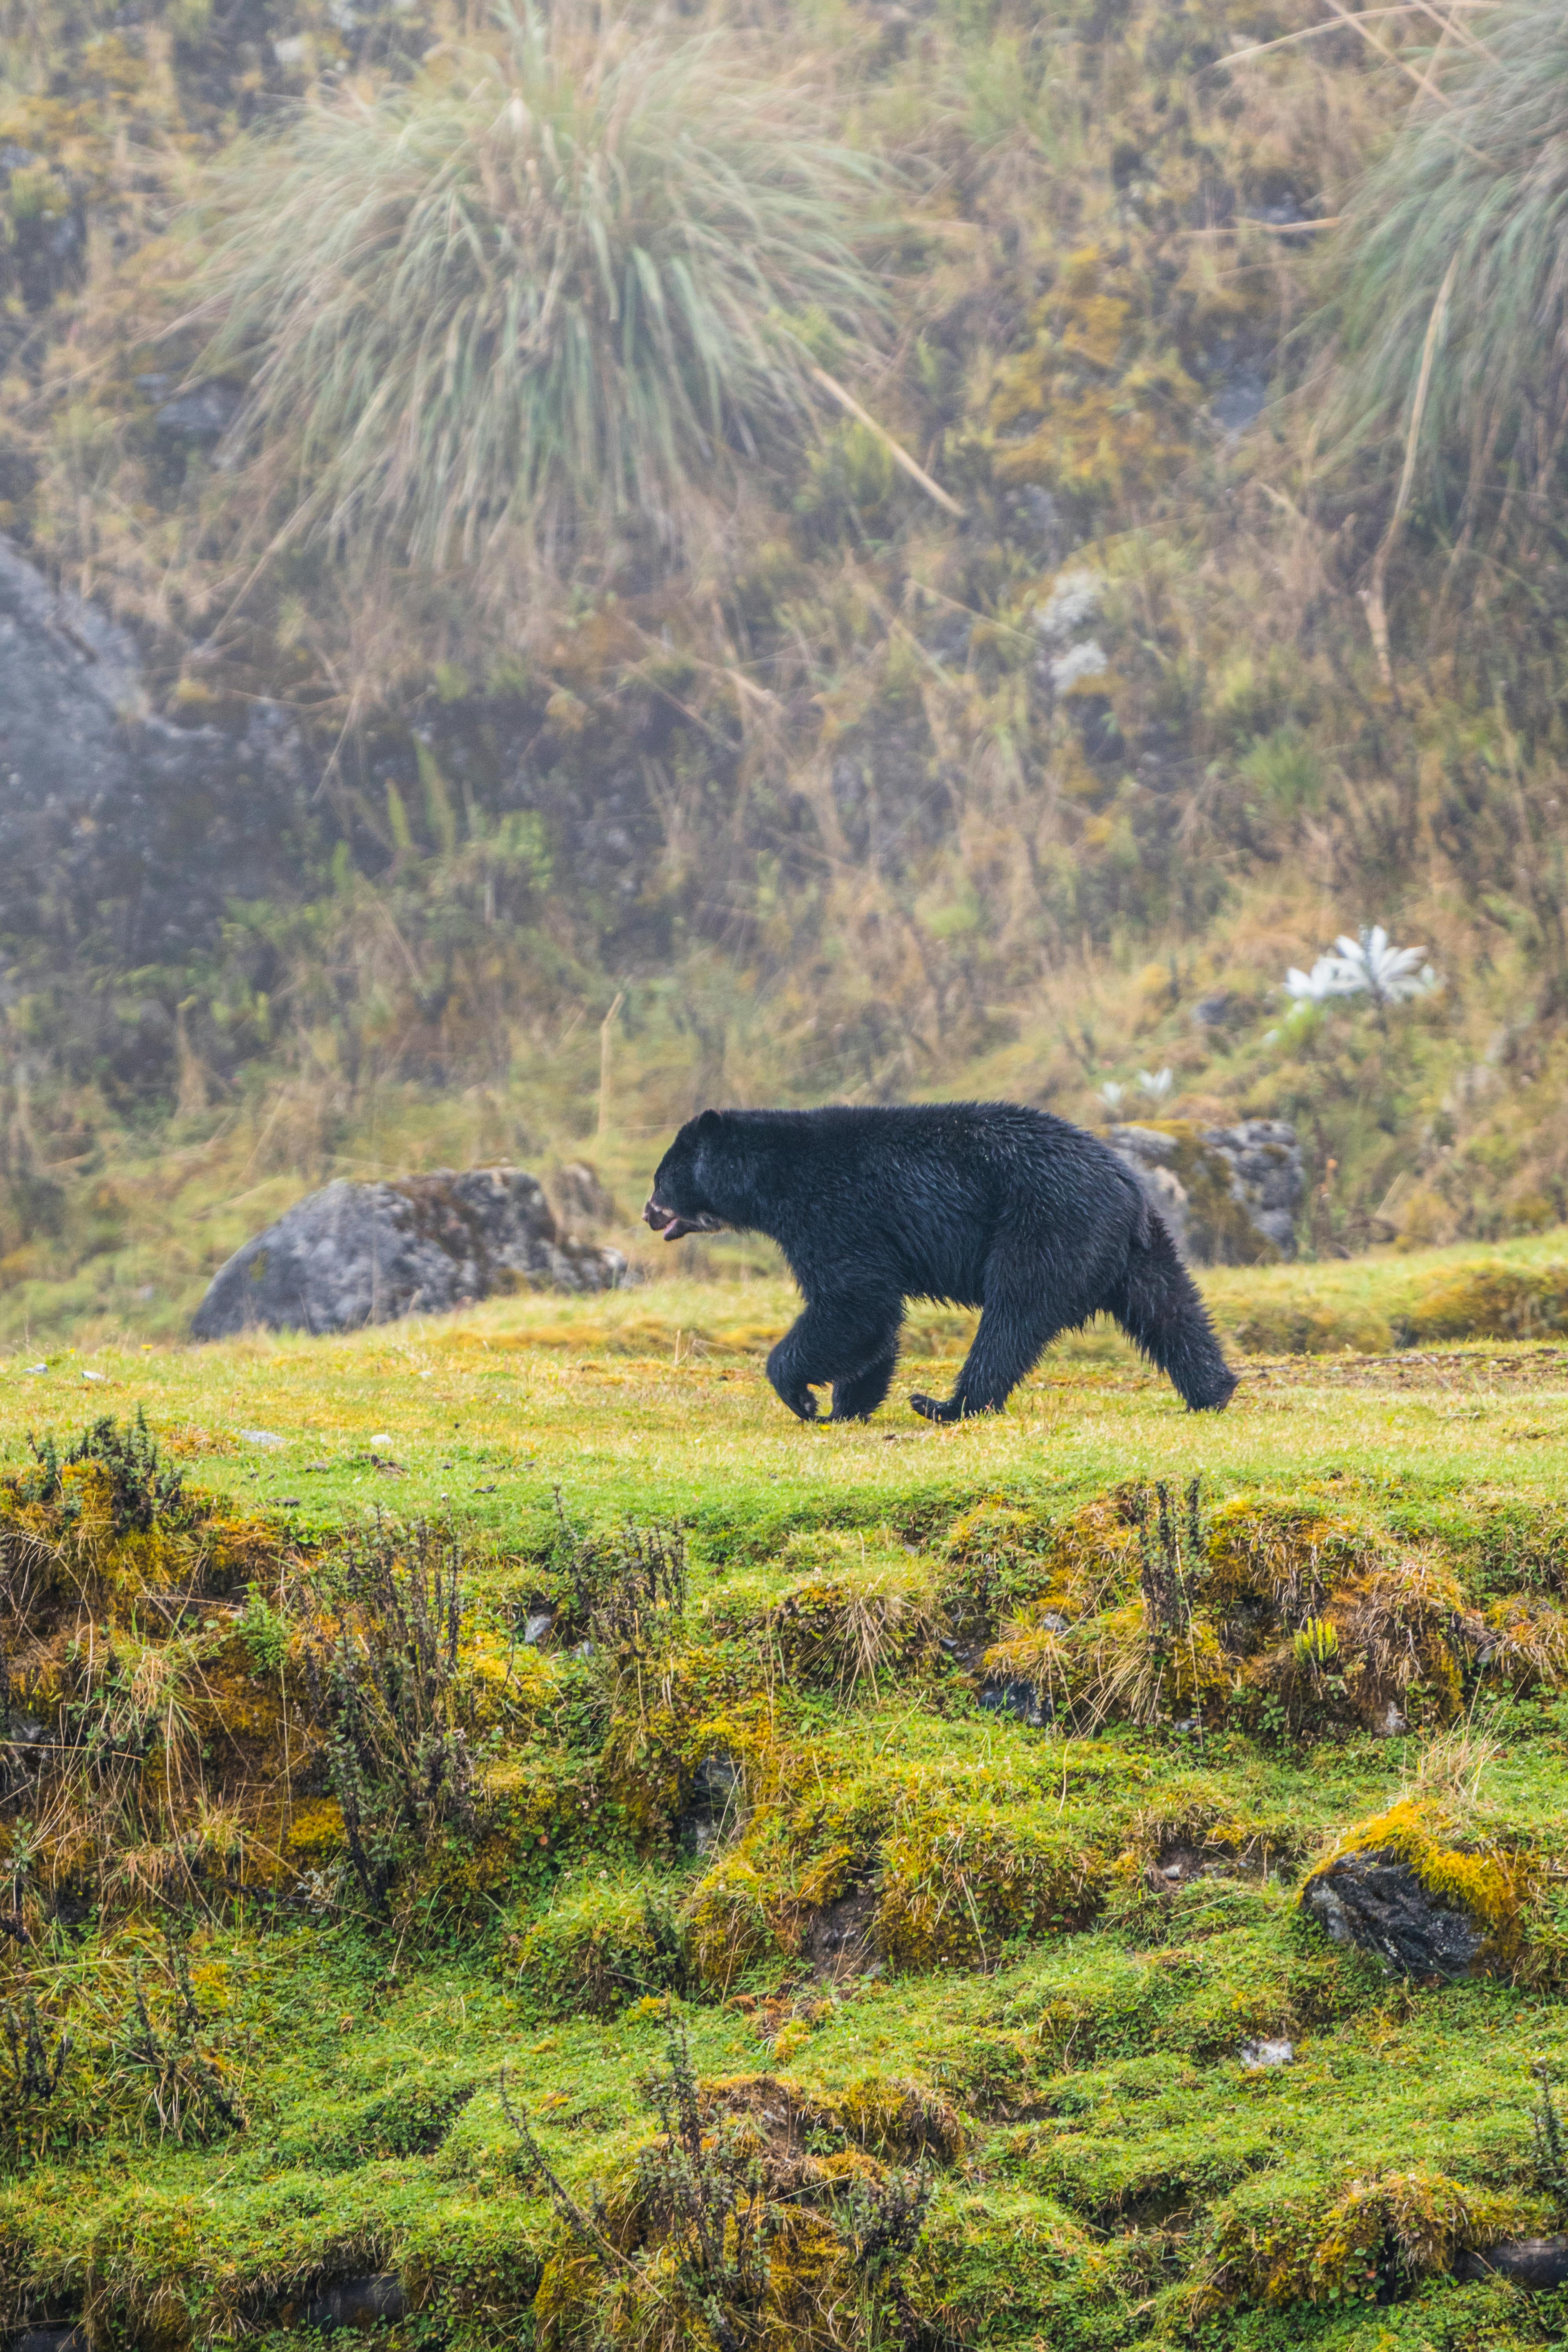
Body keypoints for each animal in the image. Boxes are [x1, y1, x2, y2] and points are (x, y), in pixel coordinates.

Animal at [639, 1096, 1241, 1411]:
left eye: (661, 1177)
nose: (648, 1214)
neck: (772, 1177)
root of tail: (1125, 1184)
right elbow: (873, 1320)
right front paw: (848, 1406)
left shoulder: (832, 1212)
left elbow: (854, 1301)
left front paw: (804, 1397)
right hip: (1138, 1246)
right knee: (1170, 1308)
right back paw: (1213, 1390)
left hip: (1047, 1224)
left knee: (1013, 1317)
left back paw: (948, 1406)